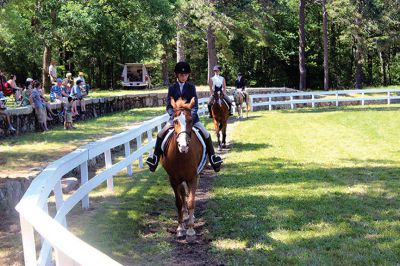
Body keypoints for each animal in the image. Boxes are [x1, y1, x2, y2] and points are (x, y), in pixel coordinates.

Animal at [160, 97, 205, 239]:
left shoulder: (193, 178)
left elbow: (191, 201)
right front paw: (180, 228)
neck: (181, 156)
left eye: (190, 120)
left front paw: (190, 229)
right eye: (175, 121)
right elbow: (179, 202)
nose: (183, 146)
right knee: (182, 194)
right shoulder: (174, 180)